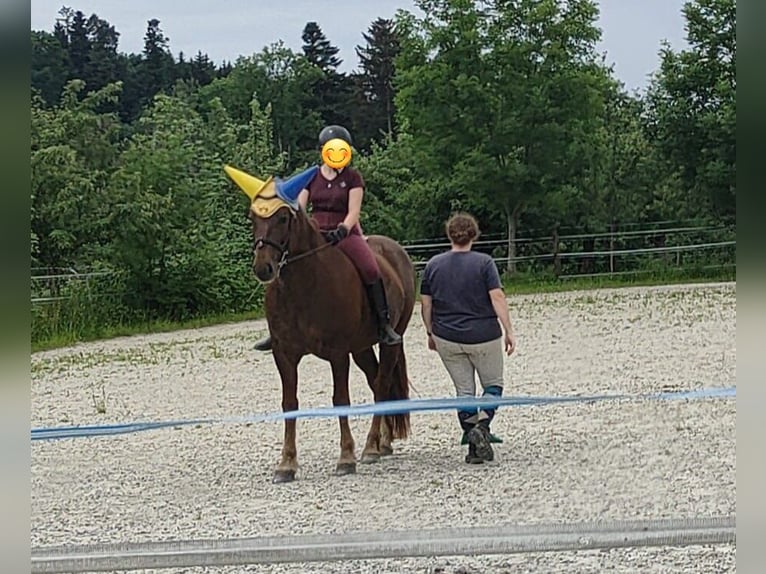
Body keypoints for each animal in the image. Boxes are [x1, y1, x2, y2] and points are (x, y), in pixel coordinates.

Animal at [232, 168, 416, 486]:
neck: (304, 284)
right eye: (252, 218)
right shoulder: (284, 354)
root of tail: (397, 252)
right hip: (362, 347)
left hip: (390, 340)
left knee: (381, 383)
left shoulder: (337, 353)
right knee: (375, 380)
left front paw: (346, 458)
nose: (263, 268)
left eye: (283, 218)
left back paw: (371, 447)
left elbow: (340, 399)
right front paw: (286, 464)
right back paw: (382, 443)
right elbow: (289, 403)